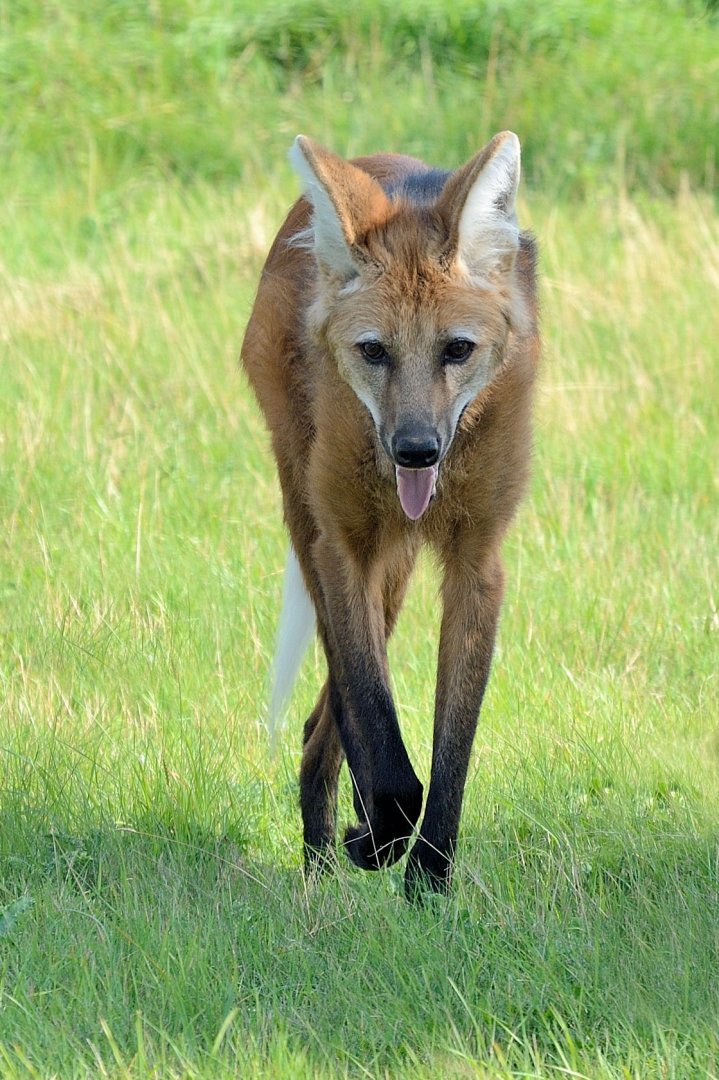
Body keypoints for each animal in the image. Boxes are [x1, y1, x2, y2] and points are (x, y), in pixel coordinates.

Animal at [241, 131, 539, 897]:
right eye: (373, 351)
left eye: (456, 349)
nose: (414, 450)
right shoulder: (343, 544)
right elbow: (376, 716)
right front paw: (379, 838)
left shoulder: (476, 564)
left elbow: (452, 747)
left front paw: (428, 882)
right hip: (327, 523)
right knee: (338, 702)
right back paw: (333, 850)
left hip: (396, 564)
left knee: (323, 717)